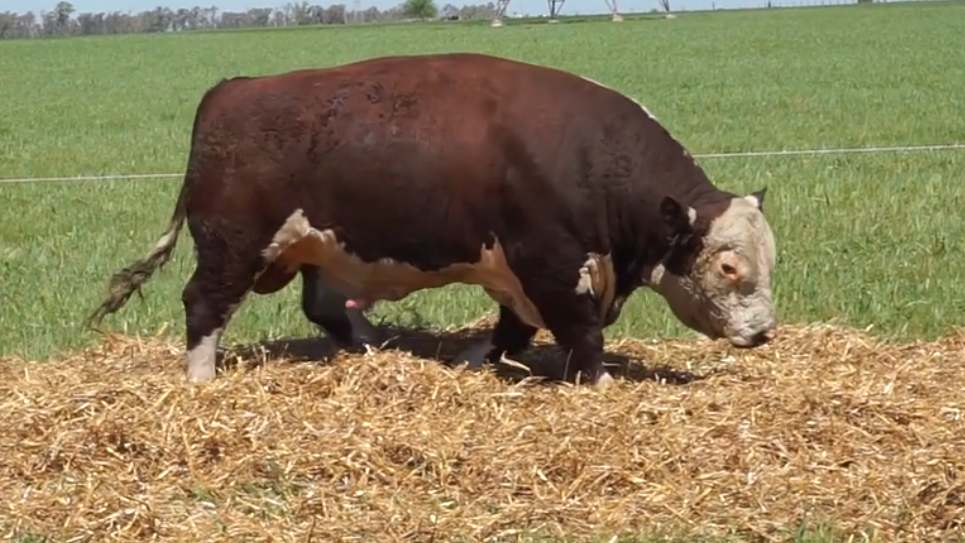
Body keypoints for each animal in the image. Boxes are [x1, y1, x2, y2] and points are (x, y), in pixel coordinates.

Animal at [86, 52, 778, 385]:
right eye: (728, 266)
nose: (765, 332)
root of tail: (232, 88)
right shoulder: (550, 265)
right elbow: (580, 335)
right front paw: (600, 386)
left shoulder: (523, 274)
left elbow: (512, 332)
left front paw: (473, 359)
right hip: (232, 246)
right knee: (204, 304)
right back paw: (201, 380)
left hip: (321, 251)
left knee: (326, 309)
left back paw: (373, 350)